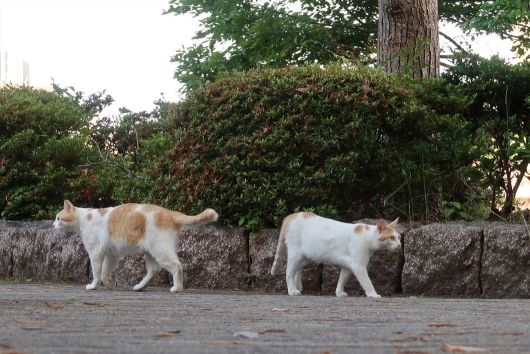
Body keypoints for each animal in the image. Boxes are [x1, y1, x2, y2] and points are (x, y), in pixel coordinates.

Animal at [52, 201, 218, 292]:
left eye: (58, 218)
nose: (53, 225)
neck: (84, 218)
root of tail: (169, 212)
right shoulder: (112, 254)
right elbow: (105, 271)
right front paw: (110, 283)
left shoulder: (95, 252)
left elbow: (97, 272)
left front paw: (93, 286)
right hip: (151, 253)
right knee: (153, 270)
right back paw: (140, 287)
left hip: (160, 250)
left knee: (177, 266)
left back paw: (177, 288)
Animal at [270, 212, 398, 298]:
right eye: (391, 238)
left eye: (398, 237)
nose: (399, 245)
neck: (367, 237)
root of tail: (291, 215)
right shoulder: (358, 266)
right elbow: (367, 282)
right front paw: (373, 294)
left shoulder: (348, 266)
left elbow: (342, 279)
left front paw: (339, 292)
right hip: (296, 255)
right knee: (289, 272)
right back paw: (292, 290)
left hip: (307, 256)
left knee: (297, 269)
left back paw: (298, 286)